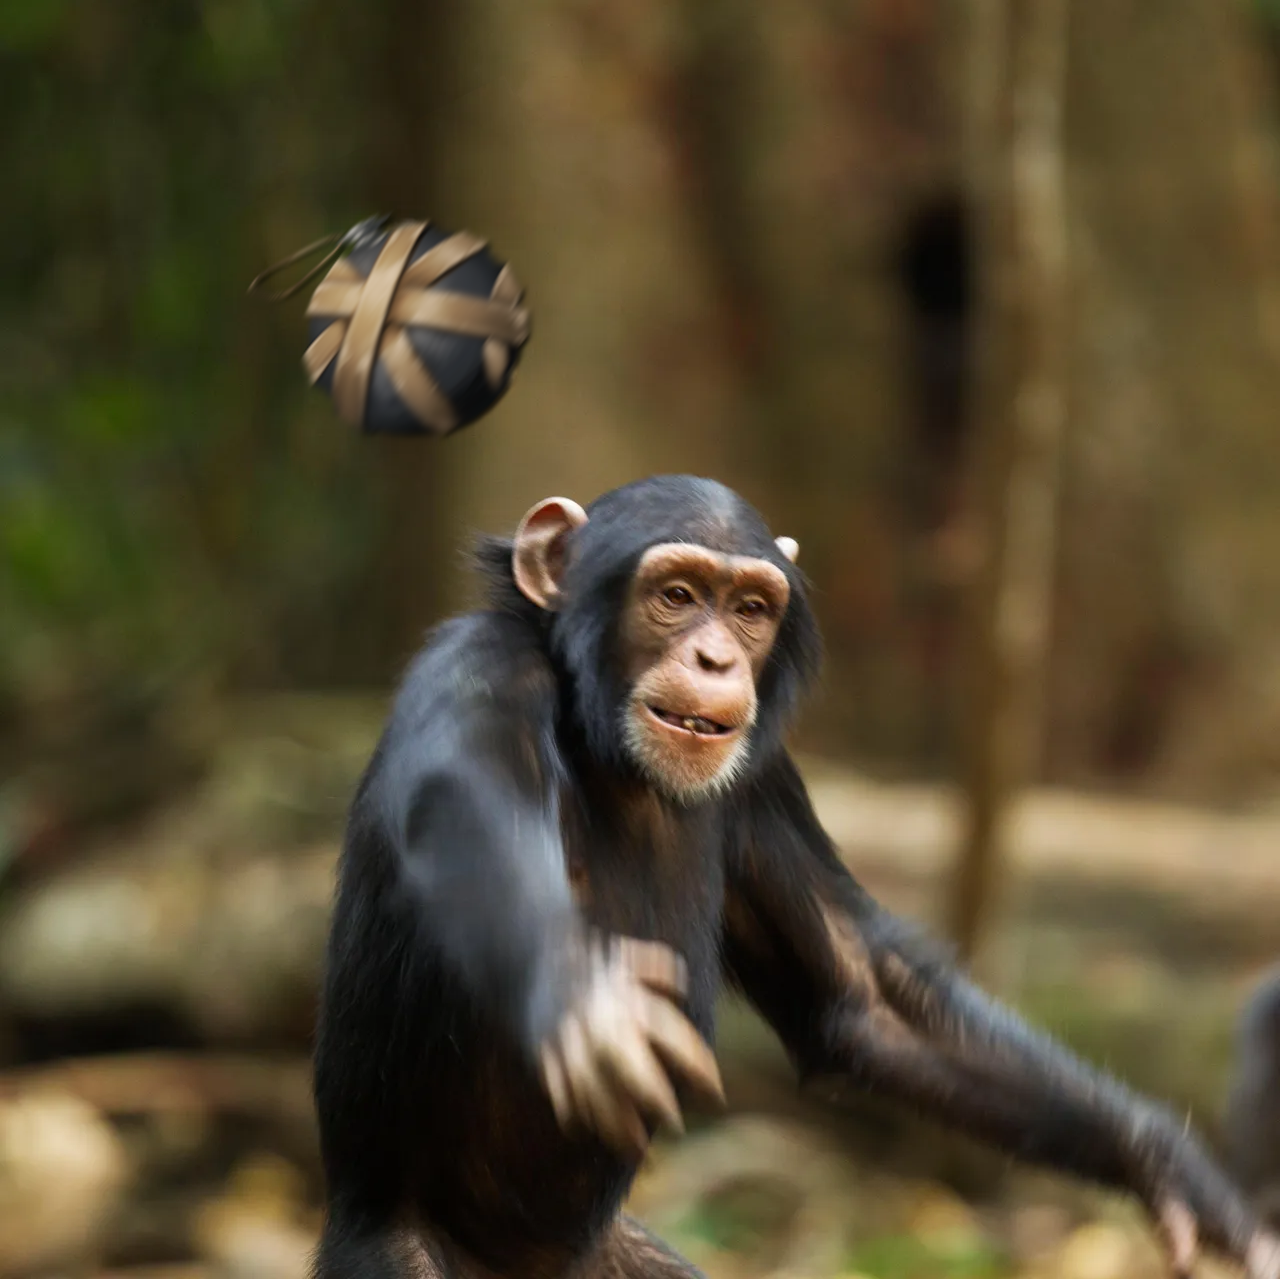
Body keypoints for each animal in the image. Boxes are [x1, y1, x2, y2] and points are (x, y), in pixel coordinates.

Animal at [311, 474, 1280, 1279]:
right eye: (674, 596)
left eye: (750, 608)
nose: (715, 659)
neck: (612, 751)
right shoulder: (479, 677)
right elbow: (466, 816)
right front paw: (583, 996)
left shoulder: (764, 782)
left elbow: (857, 994)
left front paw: (1168, 1166)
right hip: (396, 1253)